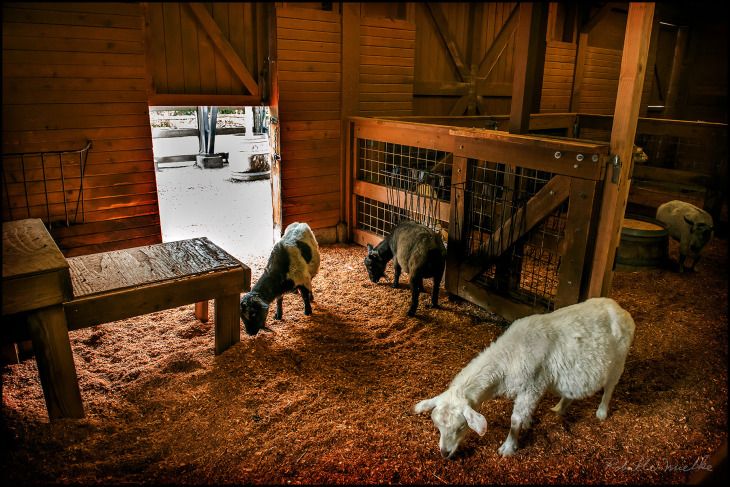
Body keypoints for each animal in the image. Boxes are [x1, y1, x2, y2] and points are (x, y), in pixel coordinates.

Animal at [416, 300, 632, 460]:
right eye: (437, 427)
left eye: (461, 427)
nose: (444, 453)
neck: (510, 355)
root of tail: (620, 309)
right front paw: (527, 424)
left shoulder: (532, 386)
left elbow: (515, 419)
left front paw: (508, 447)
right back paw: (559, 408)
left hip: (618, 360)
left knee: (610, 387)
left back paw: (602, 412)